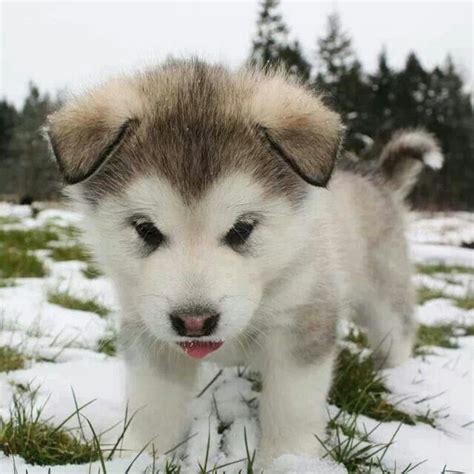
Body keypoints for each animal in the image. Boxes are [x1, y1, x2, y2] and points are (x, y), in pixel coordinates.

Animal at [45, 59, 444, 462]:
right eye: (146, 229)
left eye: (241, 229)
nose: (194, 322)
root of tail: (378, 180)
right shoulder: (148, 332)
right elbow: (153, 404)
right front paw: (144, 457)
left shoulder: (302, 324)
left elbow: (291, 406)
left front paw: (288, 460)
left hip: (383, 292)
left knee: (397, 330)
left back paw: (394, 374)